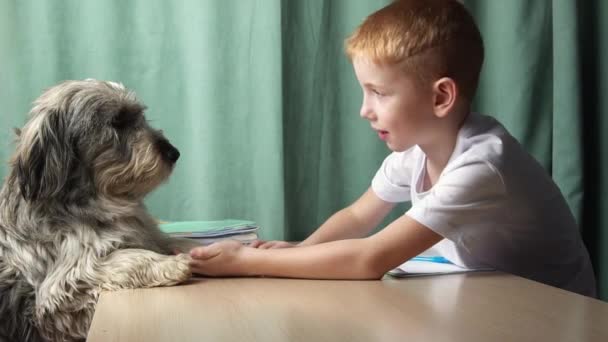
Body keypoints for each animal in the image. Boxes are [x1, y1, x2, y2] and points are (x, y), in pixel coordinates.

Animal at [0, 81, 200, 342]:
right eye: (117, 122)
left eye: (140, 116)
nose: (173, 152)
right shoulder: (64, 288)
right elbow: (126, 258)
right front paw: (171, 264)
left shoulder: (147, 233)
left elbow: (178, 240)